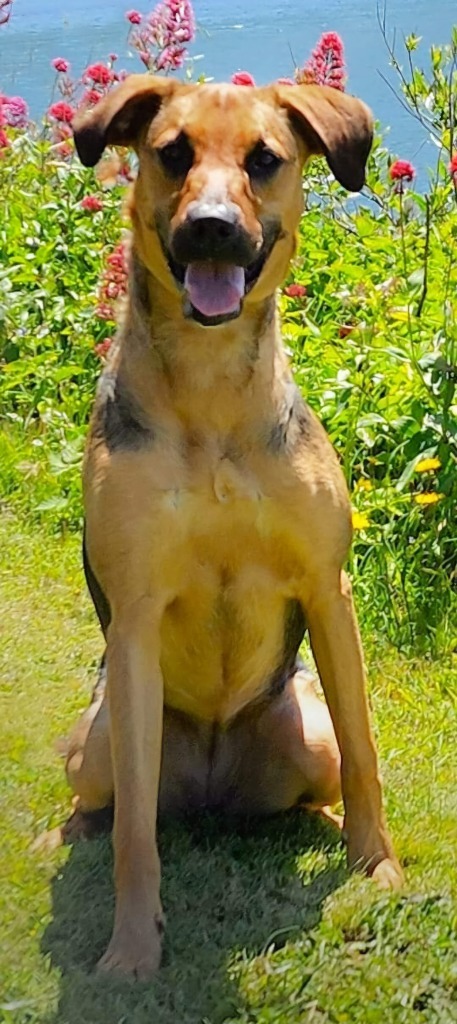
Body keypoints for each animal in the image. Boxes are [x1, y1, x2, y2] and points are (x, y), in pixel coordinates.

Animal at [64, 75, 403, 978]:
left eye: (264, 160)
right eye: (172, 152)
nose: (212, 226)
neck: (211, 395)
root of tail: (215, 788)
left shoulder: (327, 590)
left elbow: (366, 752)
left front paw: (378, 866)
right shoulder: (135, 615)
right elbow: (135, 835)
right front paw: (130, 947)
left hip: (305, 734)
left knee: (319, 779)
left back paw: (323, 824)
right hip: (101, 740)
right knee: (111, 804)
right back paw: (68, 833)